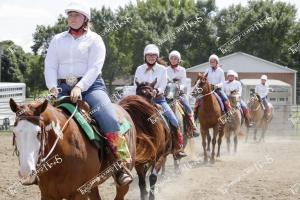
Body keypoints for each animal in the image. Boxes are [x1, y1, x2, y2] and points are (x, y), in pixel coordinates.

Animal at [8, 97, 136, 200]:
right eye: (14, 132)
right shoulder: (47, 195)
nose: (25, 173)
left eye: (38, 133)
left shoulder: (79, 194)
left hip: (123, 183)